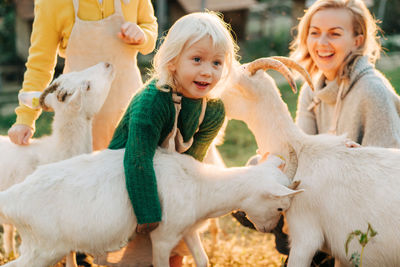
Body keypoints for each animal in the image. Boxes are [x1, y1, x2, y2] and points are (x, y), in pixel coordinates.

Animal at [0, 147, 302, 267]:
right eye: (280, 208)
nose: (266, 230)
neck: (200, 184)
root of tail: (13, 197)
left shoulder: (187, 229)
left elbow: (203, 260)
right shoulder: (163, 236)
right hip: (44, 248)